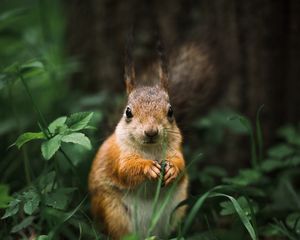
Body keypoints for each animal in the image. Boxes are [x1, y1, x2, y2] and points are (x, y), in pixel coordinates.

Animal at [88, 40, 217, 239]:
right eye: (128, 112)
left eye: (171, 111)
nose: (151, 132)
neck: (150, 150)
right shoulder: (118, 155)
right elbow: (125, 170)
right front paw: (147, 167)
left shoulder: (176, 148)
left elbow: (181, 163)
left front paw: (172, 169)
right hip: (113, 212)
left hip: (175, 212)